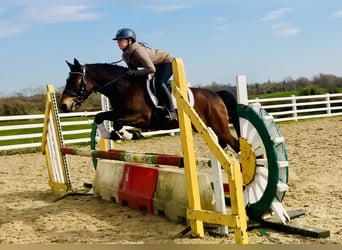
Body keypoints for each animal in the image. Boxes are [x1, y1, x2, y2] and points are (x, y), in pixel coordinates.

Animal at [59, 58, 240, 152]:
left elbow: (118, 123)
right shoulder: (117, 112)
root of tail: (216, 95)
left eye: (74, 81)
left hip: (219, 126)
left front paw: (131, 135)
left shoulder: (141, 118)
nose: (63, 106)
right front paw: (110, 135)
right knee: (223, 144)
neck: (123, 87)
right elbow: (100, 116)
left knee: (235, 144)